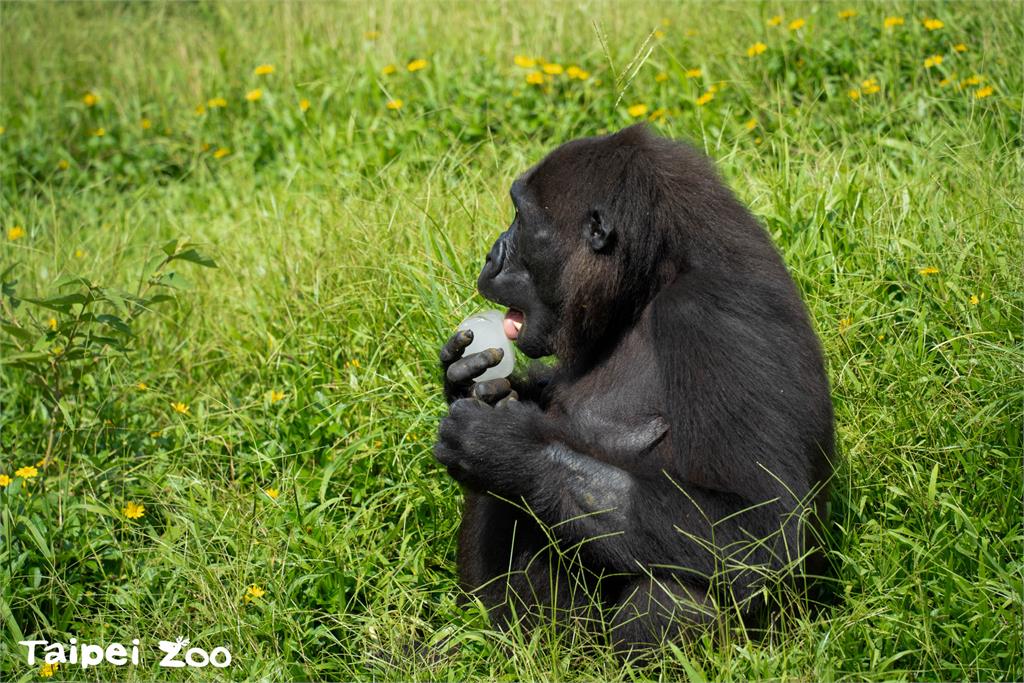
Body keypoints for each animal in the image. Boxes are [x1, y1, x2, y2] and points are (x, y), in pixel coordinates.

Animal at [432, 124, 831, 655]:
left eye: (520, 216)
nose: (492, 254)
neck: (654, 276)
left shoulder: (709, 317)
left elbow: (758, 529)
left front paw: (505, 448)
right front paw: (464, 385)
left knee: (679, 592)